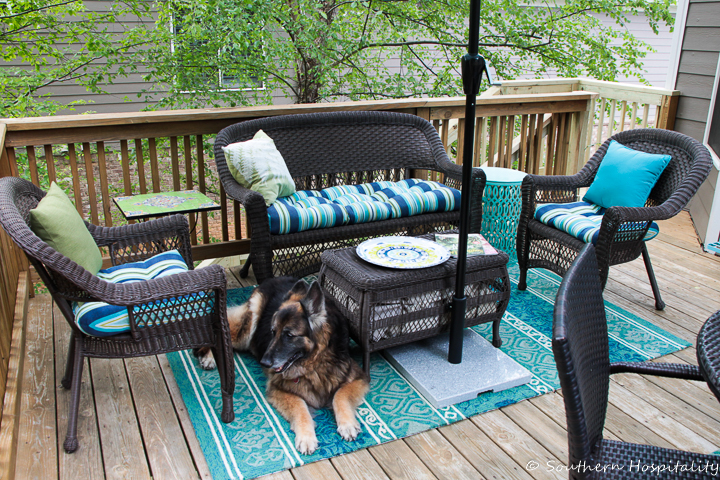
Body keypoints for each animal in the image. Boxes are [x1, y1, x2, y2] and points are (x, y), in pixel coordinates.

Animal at [194, 278, 368, 454]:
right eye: (273, 332)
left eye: (289, 335)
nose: (264, 363)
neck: (314, 363)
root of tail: (275, 279)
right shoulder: (279, 388)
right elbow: (300, 407)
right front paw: (306, 437)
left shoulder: (358, 377)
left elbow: (340, 396)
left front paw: (347, 424)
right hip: (245, 332)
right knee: (223, 332)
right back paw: (208, 357)